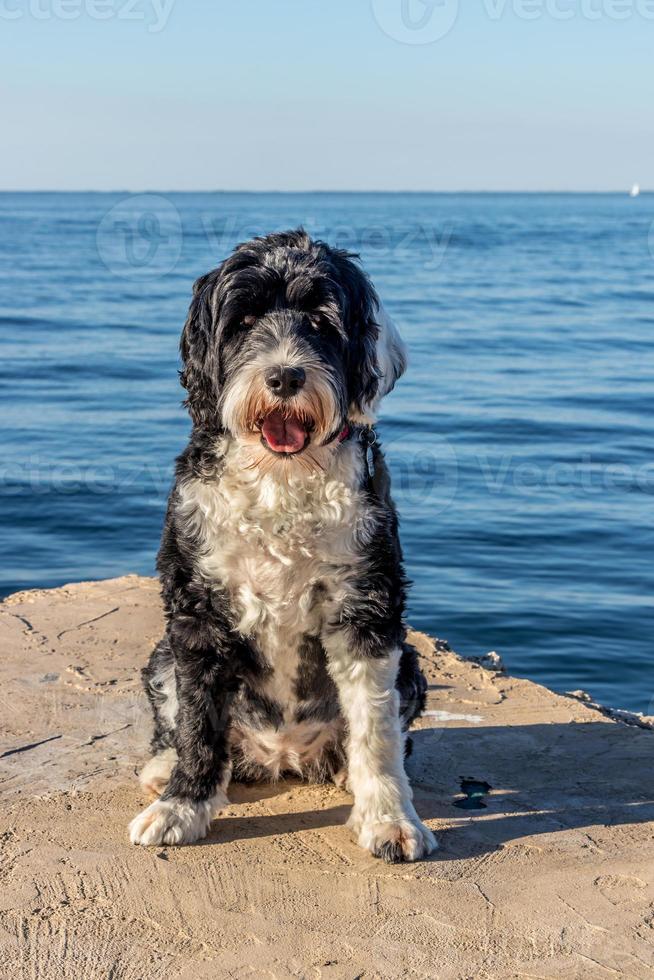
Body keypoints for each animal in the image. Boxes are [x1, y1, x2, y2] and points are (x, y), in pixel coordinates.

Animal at [130, 232, 438, 864]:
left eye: (322, 322)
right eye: (243, 320)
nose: (284, 377)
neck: (281, 480)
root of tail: (284, 756)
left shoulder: (367, 611)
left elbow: (376, 731)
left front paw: (390, 819)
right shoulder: (197, 614)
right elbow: (198, 724)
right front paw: (181, 808)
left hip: (411, 666)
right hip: (162, 658)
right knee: (191, 730)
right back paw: (165, 771)